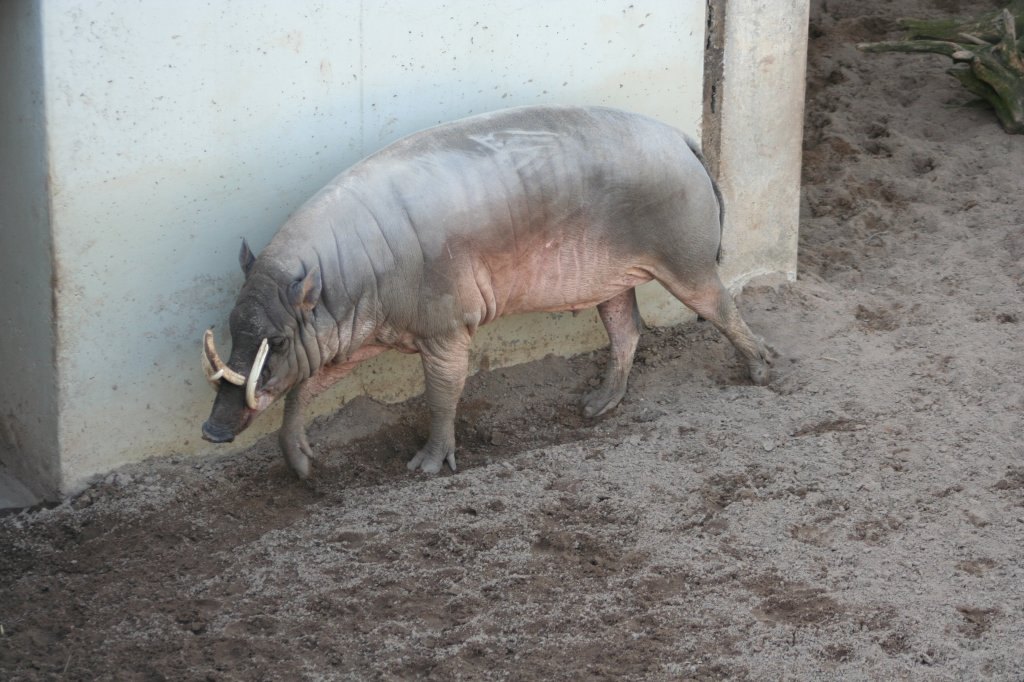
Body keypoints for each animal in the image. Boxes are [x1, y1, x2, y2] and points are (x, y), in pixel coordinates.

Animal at [199, 104, 770, 477]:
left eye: (279, 339)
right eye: (231, 328)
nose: (212, 432)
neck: (345, 278)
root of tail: (683, 139)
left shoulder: (446, 324)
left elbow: (443, 393)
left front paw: (426, 466)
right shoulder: (353, 337)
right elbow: (307, 386)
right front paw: (302, 466)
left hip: (685, 257)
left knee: (718, 306)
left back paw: (763, 370)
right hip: (612, 279)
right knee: (627, 330)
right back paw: (595, 406)